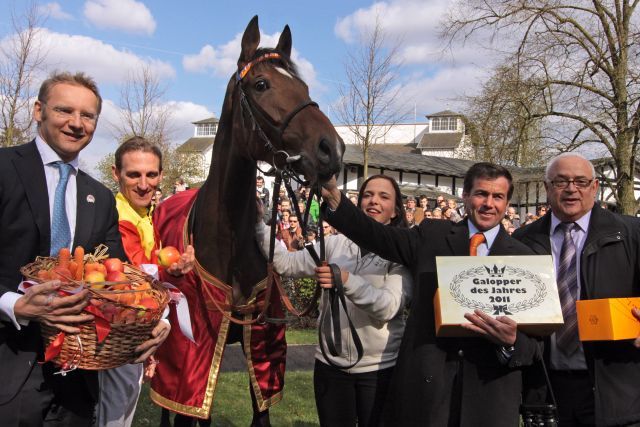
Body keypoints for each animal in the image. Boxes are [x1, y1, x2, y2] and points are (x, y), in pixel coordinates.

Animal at [149, 15, 344, 426]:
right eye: (261, 84)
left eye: (304, 86)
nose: (331, 149)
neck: (229, 242)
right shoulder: (194, 366)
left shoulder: (263, 353)